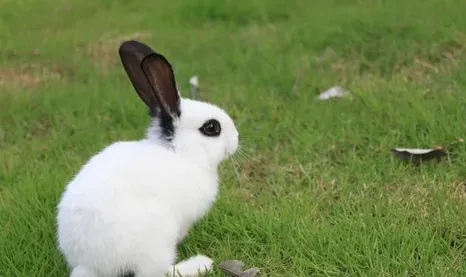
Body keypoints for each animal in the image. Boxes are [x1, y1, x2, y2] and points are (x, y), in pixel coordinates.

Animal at [57, 39, 240, 276]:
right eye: (211, 128)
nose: (236, 138)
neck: (181, 153)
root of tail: (90, 264)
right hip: (157, 242)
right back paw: (200, 263)